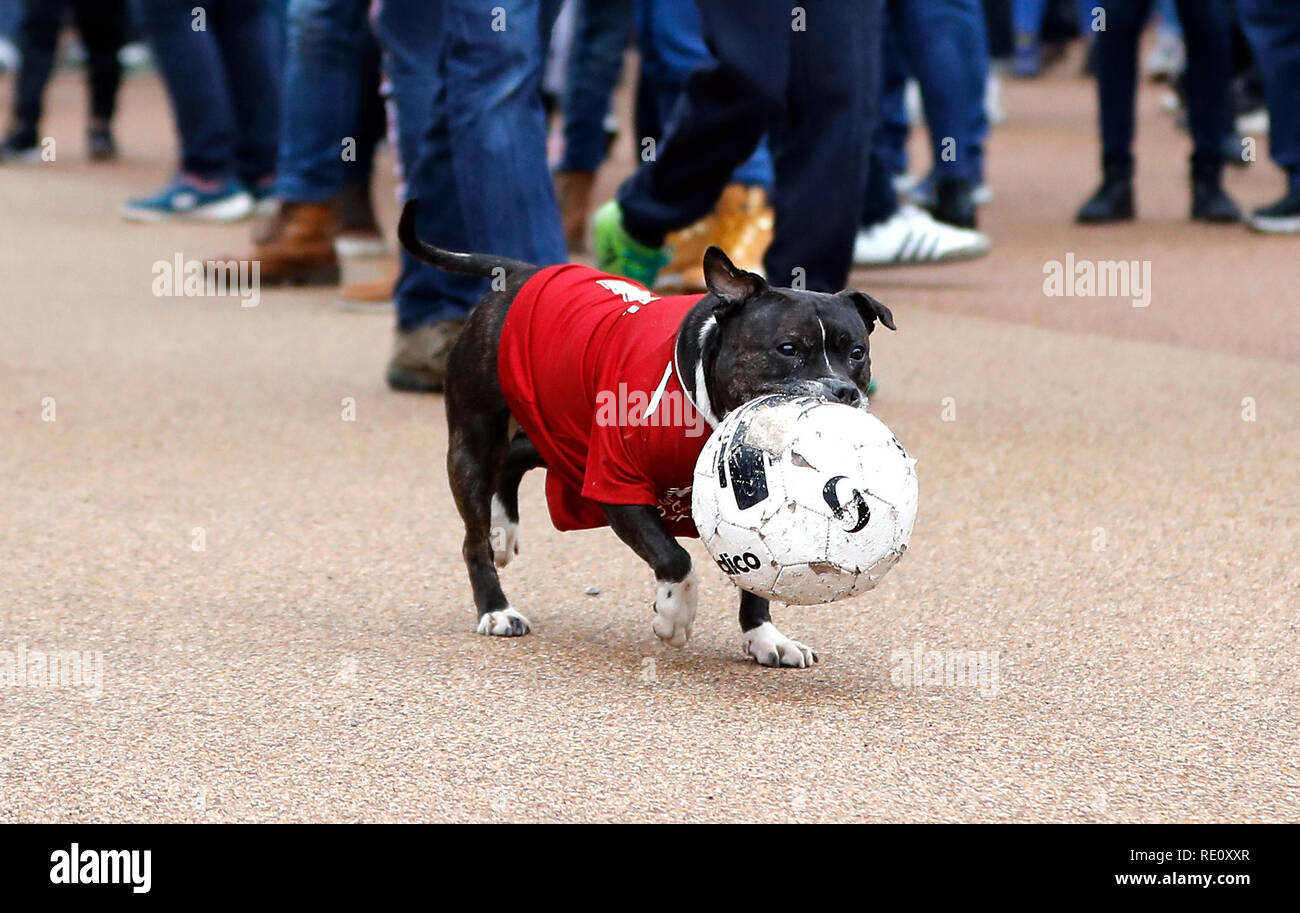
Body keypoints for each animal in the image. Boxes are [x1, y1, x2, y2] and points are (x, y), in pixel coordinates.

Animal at [400, 200, 894, 671]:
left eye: (857, 353)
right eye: (788, 349)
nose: (842, 391)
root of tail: (523, 274)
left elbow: (756, 579)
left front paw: (765, 637)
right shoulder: (616, 485)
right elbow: (676, 558)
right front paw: (674, 616)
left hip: (561, 435)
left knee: (515, 457)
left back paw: (503, 528)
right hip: (475, 439)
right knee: (474, 534)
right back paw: (496, 606)